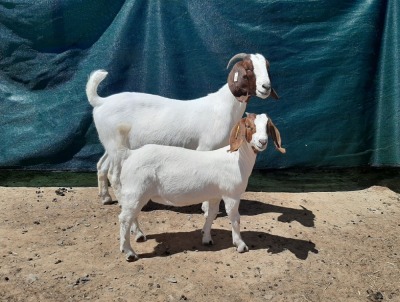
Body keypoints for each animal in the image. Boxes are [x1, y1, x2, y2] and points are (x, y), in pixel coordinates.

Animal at [114, 113, 286, 262]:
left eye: (267, 127)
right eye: (249, 126)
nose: (262, 142)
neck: (237, 158)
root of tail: (130, 154)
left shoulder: (215, 195)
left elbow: (211, 215)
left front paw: (206, 238)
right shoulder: (231, 194)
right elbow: (235, 218)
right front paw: (240, 245)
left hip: (137, 192)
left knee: (132, 215)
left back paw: (138, 235)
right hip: (135, 190)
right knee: (124, 218)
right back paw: (129, 252)